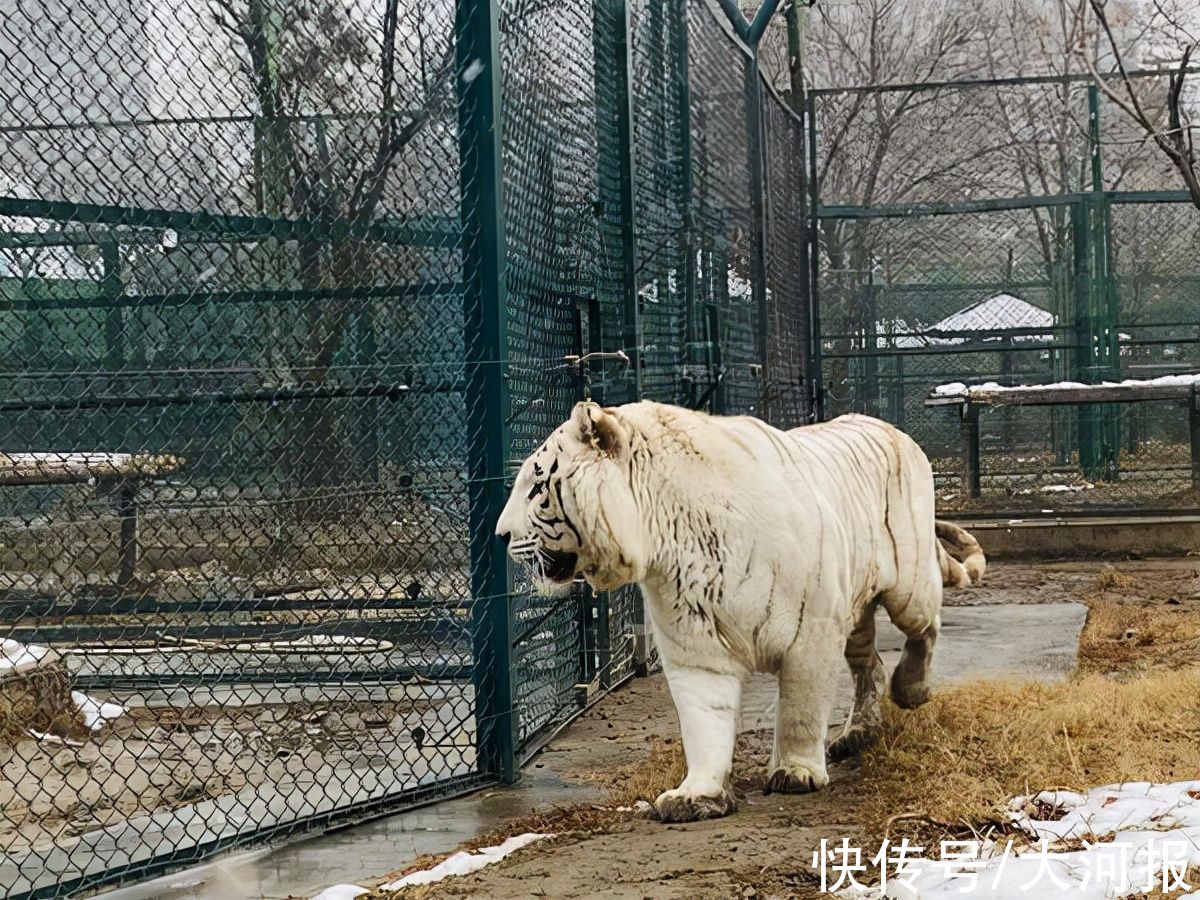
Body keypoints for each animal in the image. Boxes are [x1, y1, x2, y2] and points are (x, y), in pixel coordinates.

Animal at [496, 400, 984, 825]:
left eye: (537, 487)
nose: (500, 535)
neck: (668, 533)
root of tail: (894, 430)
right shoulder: (695, 647)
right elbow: (704, 721)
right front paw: (697, 795)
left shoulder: (811, 633)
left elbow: (801, 711)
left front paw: (796, 772)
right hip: (855, 612)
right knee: (870, 664)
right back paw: (856, 733)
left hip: (909, 586)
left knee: (926, 627)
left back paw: (911, 690)